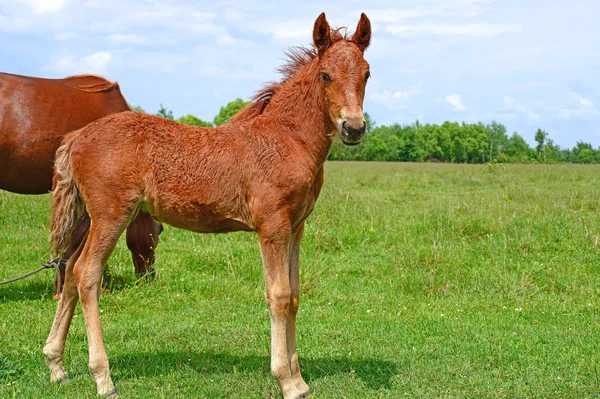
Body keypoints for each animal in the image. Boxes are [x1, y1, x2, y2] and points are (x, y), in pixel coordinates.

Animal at [43, 12, 370, 399]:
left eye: (367, 73)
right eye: (325, 75)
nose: (353, 127)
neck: (286, 139)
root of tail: (77, 137)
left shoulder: (296, 226)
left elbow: (294, 295)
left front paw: (300, 381)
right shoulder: (272, 226)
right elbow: (278, 295)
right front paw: (286, 381)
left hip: (94, 218)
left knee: (70, 269)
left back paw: (56, 365)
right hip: (111, 215)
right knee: (86, 273)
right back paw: (103, 378)